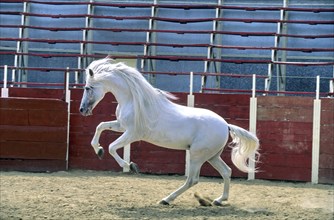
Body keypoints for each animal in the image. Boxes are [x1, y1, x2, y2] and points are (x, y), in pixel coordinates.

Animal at [79, 58, 260, 206]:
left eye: (88, 88)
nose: (82, 110)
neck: (134, 101)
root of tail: (225, 125)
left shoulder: (132, 133)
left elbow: (112, 147)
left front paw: (130, 166)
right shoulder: (121, 126)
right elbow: (100, 126)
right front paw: (98, 150)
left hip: (197, 156)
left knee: (192, 180)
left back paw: (166, 199)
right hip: (212, 156)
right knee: (226, 172)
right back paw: (219, 200)